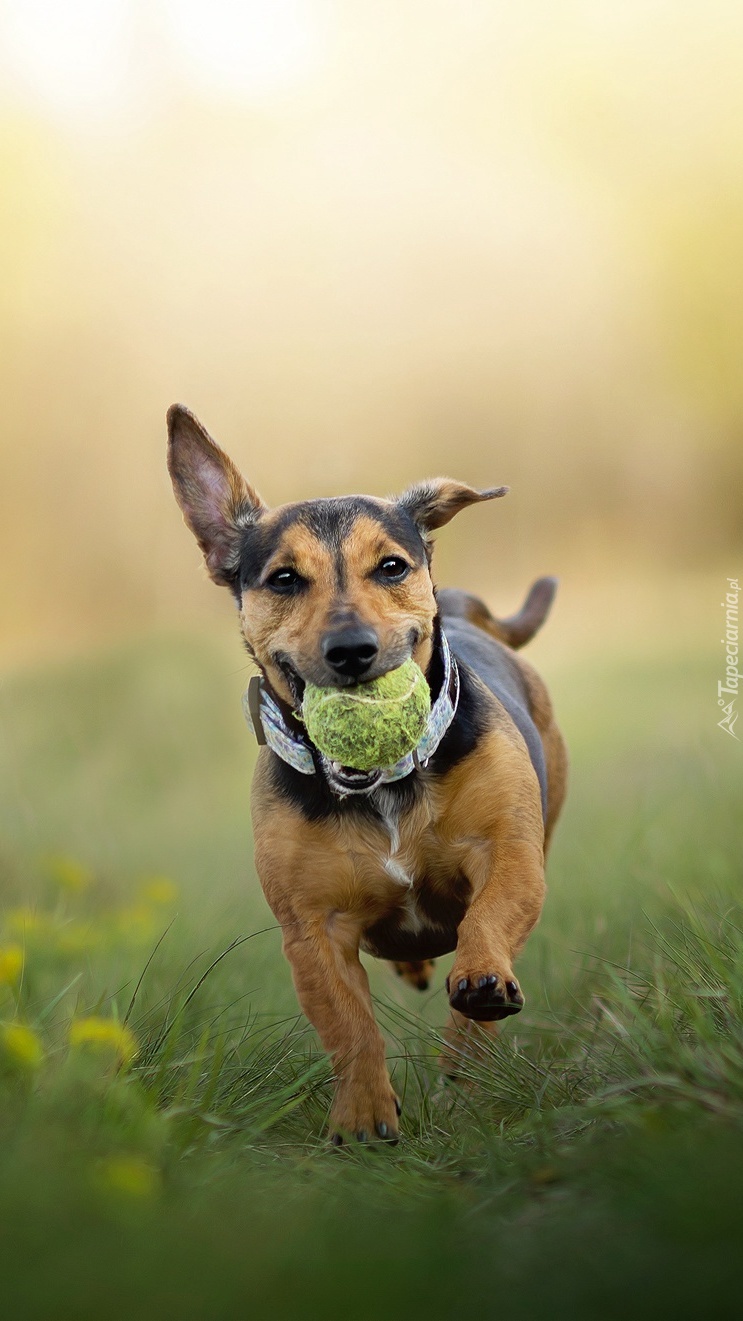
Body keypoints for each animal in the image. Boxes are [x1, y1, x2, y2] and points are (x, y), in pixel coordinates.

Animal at [164, 401, 563, 1146]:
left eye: (391, 567)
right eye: (284, 578)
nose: (351, 649)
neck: (382, 785)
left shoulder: (509, 854)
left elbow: (488, 919)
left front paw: (477, 1004)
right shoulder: (311, 927)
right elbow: (348, 1025)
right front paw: (362, 1116)